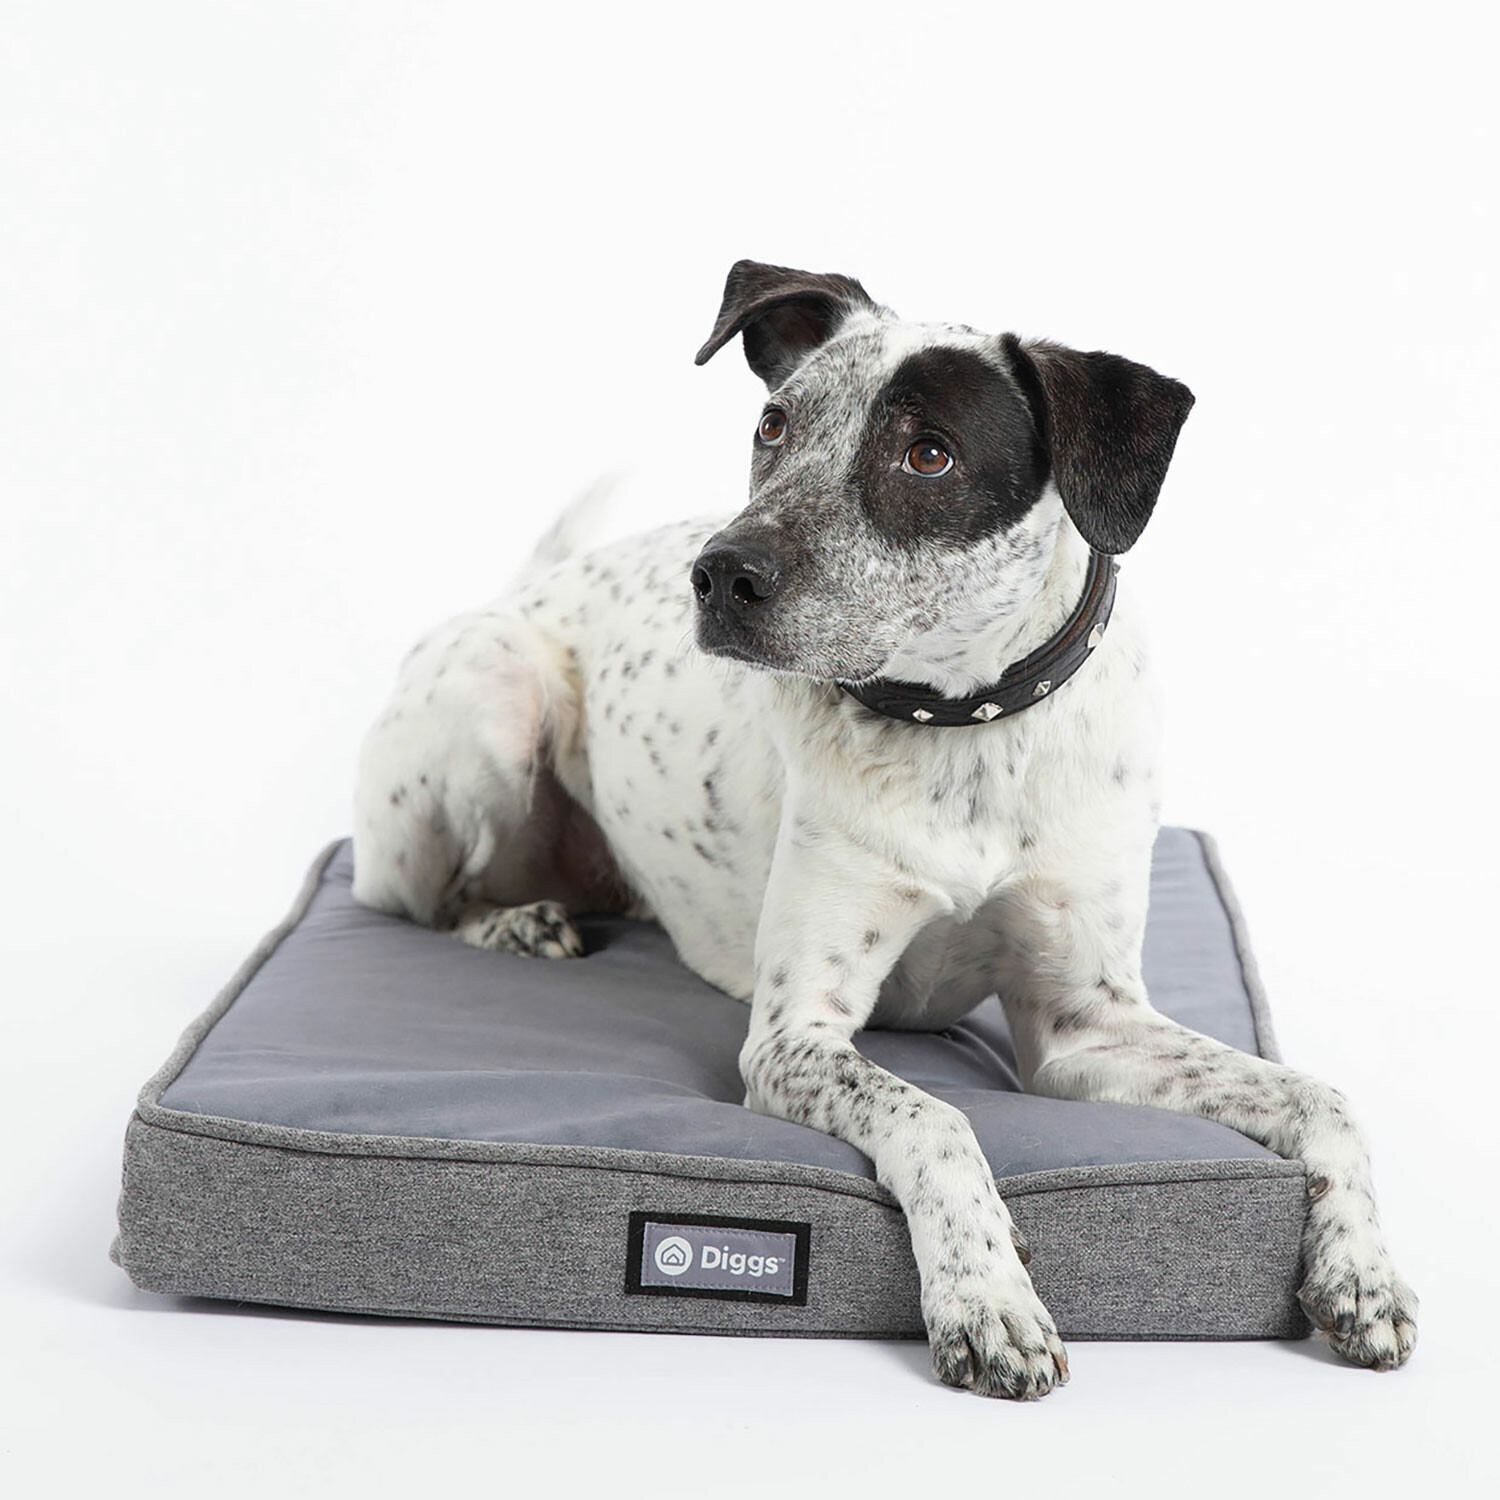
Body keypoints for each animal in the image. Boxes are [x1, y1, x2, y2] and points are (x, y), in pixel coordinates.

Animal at [351, 260, 1417, 1398]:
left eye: (929, 453)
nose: (720, 574)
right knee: (416, 898)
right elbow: (936, 1116)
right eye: (774, 424)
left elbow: (1324, 1098)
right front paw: (986, 1295)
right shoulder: (794, 1036)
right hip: (494, 694)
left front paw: (1362, 1274)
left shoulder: (1084, 1026)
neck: (961, 732)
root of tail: (534, 587)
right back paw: (517, 923)